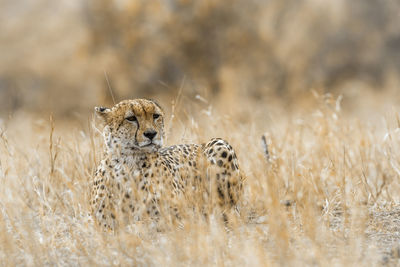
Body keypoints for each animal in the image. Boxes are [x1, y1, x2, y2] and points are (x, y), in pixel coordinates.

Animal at [90, 98, 241, 230]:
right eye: (131, 118)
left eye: (155, 116)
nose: (151, 134)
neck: (129, 163)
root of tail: (198, 144)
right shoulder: (98, 221)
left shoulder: (179, 215)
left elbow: (148, 223)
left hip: (219, 144)